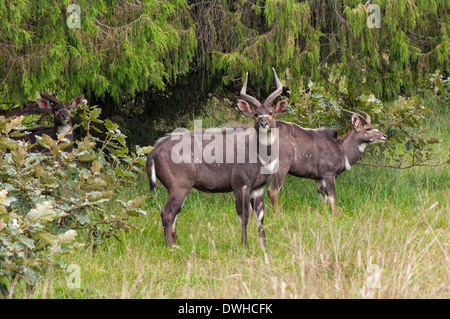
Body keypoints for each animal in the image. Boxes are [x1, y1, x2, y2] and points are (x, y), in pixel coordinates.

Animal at [148, 68, 288, 248]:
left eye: (270, 113)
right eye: (256, 114)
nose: (264, 123)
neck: (259, 156)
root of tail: (153, 152)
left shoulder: (258, 188)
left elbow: (260, 215)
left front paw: (264, 245)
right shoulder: (240, 184)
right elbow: (243, 215)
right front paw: (245, 245)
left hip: (177, 188)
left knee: (174, 213)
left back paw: (177, 243)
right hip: (179, 186)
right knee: (167, 213)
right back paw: (171, 247)